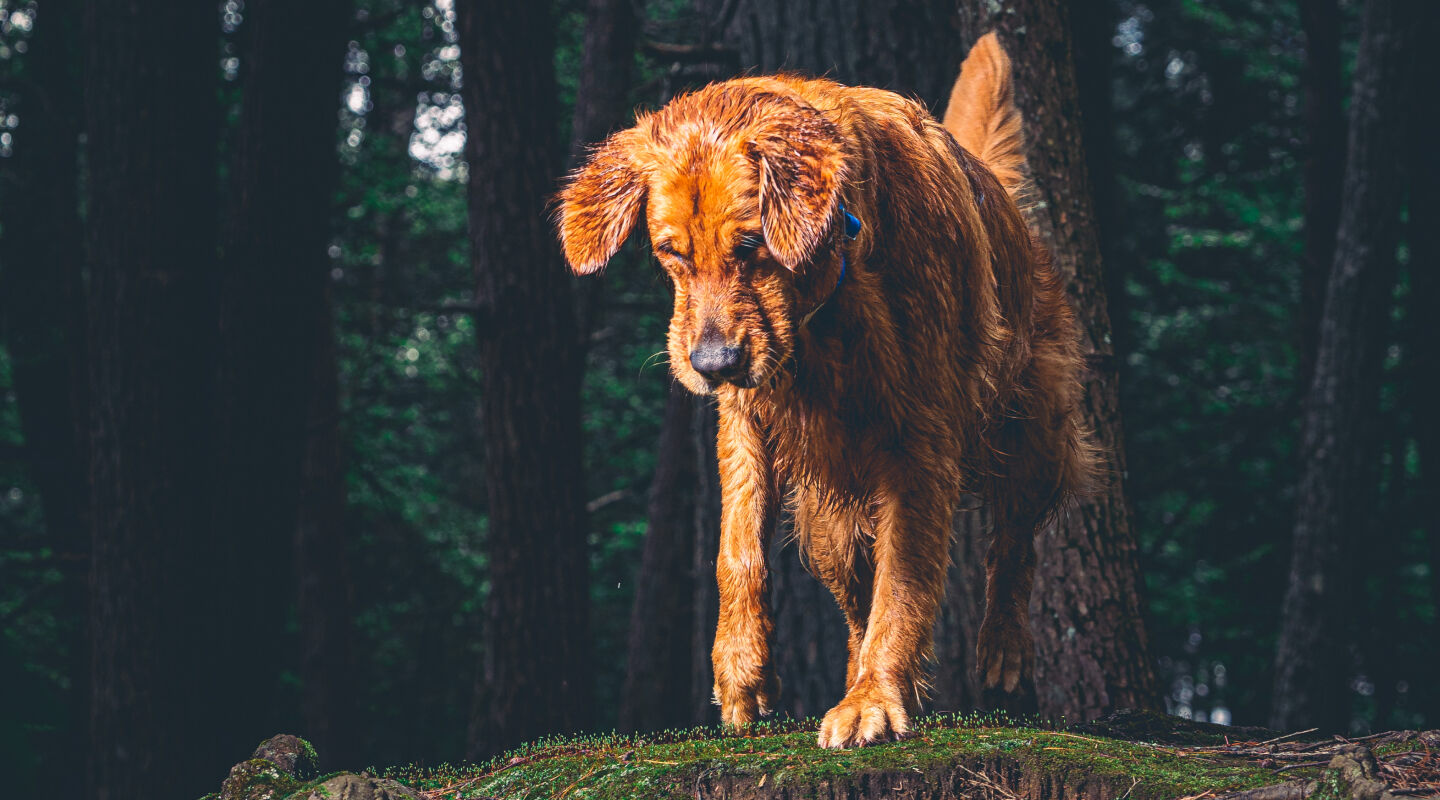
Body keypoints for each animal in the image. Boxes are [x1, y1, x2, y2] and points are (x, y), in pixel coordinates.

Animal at [555, 34, 1082, 748]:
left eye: (751, 243)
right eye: (672, 253)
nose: (712, 363)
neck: (829, 304)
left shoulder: (920, 443)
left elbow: (903, 585)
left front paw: (875, 698)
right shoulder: (746, 420)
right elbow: (738, 549)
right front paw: (741, 670)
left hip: (1033, 430)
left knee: (1015, 541)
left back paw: (1001, 649)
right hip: (832, 520)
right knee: (856, 599)